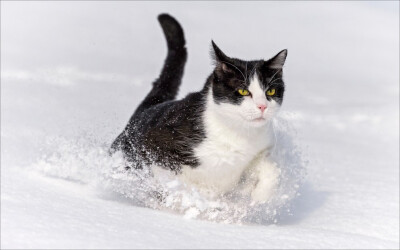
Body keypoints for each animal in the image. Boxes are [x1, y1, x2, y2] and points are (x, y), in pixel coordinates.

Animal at [111, 12, 288, 202]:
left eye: (270, 91)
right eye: (243, 91)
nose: (262, 106)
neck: (239, 134)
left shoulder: (262, 150)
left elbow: (271, 170)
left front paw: (259, 197)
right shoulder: (155, 145)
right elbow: (177, 183)